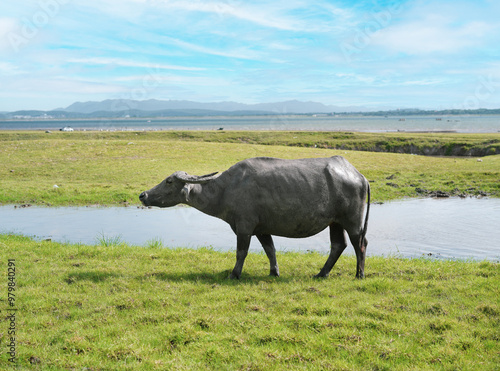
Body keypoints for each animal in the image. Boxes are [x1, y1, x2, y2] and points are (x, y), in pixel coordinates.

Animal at [139, 155, 370, 280]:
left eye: (169, 181)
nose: (143, 195)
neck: (225, 190)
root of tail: (359, 175)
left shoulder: (244, 227)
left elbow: (241, 252)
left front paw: (234, 274)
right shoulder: (261, 229)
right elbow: (270, 250)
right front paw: (274, 272)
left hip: (352, 221)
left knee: (360, 243)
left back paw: (359, 274)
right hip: (335, 222)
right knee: (338, 245)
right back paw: (322, 273)